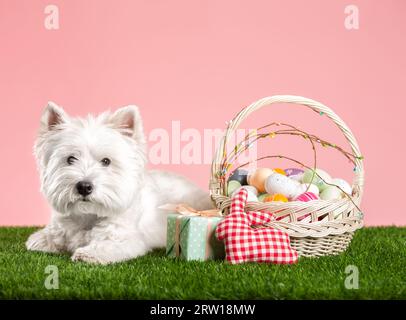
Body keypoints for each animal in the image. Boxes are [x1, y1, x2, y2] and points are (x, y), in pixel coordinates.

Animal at [26, 102, 213, 264]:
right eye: (70, 159)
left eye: (106, 161)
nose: (84, 187)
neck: (88, 216)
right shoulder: (60, 227)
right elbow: (47, 236)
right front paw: (40, 242)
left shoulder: (126, 238)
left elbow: (107, 245)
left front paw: (87, 254)